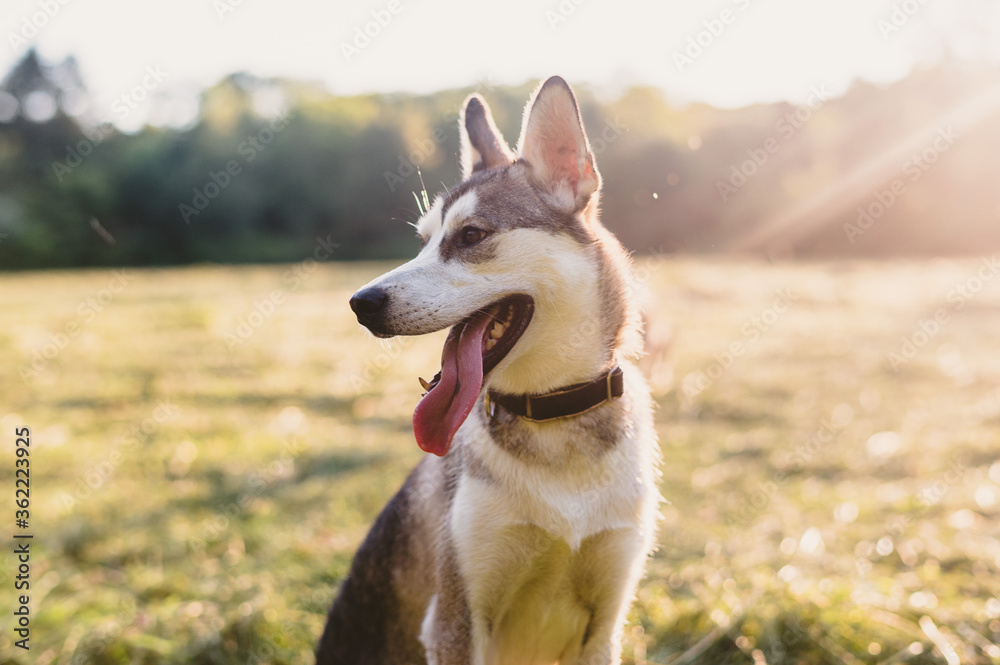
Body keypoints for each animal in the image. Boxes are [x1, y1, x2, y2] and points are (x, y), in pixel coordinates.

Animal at [320, 76, 660, 664]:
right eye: (423, 241)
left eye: (471, 236)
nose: (361, 303)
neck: (554, 420)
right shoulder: (456, 621)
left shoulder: (605, 623)